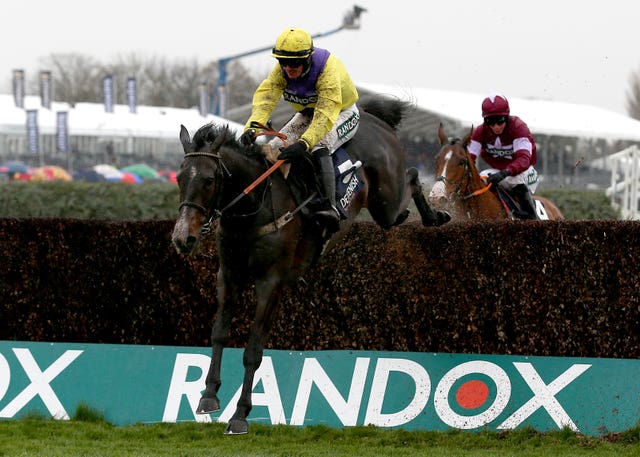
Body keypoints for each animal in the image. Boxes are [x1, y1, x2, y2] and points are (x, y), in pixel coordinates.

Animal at [170, 97, 450, 434]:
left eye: (209, 180)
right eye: (179, 178)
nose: (183, 238)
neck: (255, 207)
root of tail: (372, 116)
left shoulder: (271, 282)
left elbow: (253, 350)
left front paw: (240, 415)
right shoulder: (229, 275)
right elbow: (219, 333)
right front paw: (208, 396)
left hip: (387, 201)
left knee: (411, 175)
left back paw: (435, 215)